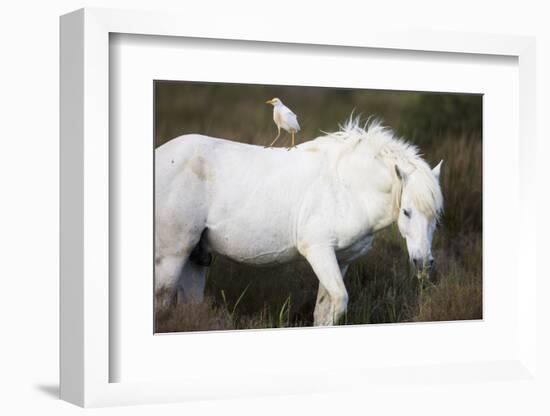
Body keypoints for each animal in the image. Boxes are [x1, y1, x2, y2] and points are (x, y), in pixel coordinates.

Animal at [154, 118, 444, 326]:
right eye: (406, 212)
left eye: (436, 218)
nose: (423, 262)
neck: (347, 187)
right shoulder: (318, 251)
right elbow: (338, 301)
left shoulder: (342, 259)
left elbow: (325, 311)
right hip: (173, 255)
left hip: (195, 257)